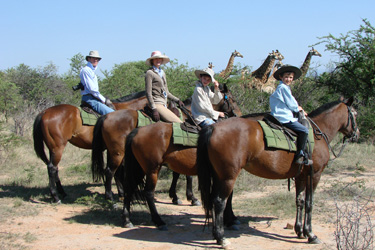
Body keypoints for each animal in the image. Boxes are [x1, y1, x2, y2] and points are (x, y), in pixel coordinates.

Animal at [91, 84, 241, 203]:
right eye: (232, 99)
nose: (238, 115)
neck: (188, 117)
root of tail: (106, 116)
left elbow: (176, 173)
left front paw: (175, 196)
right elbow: (187, 175)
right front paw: (191, 197)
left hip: (116, 152)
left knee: (117, 172)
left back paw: (122, 195)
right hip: (117, 153)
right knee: (110, 171)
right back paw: (110, 197)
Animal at [195, 96, 360, 247]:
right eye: (355, 114)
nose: (356, 134)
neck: (318, 133)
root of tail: (213, 128)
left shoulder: (300, 176)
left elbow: (300, 201)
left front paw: (299, 230)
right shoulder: (314, 175)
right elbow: (309, 203)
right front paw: (310, 234)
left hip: (218, 175)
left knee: (213, 200)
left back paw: (217, 234)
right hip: (228, 177)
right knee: (219, 202)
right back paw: (221, 238)